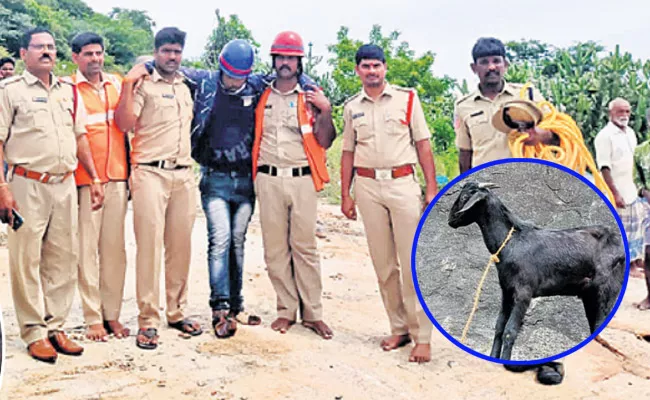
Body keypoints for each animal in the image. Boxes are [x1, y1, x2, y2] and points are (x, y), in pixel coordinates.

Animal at [446, 181, 624, 360]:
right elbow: (499, 327)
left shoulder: (524, 292)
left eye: (464, 197)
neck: (511, 242)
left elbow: (509, 332)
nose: (450, 219)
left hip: (606, 291)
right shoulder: (507, 291)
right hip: (589, 295)